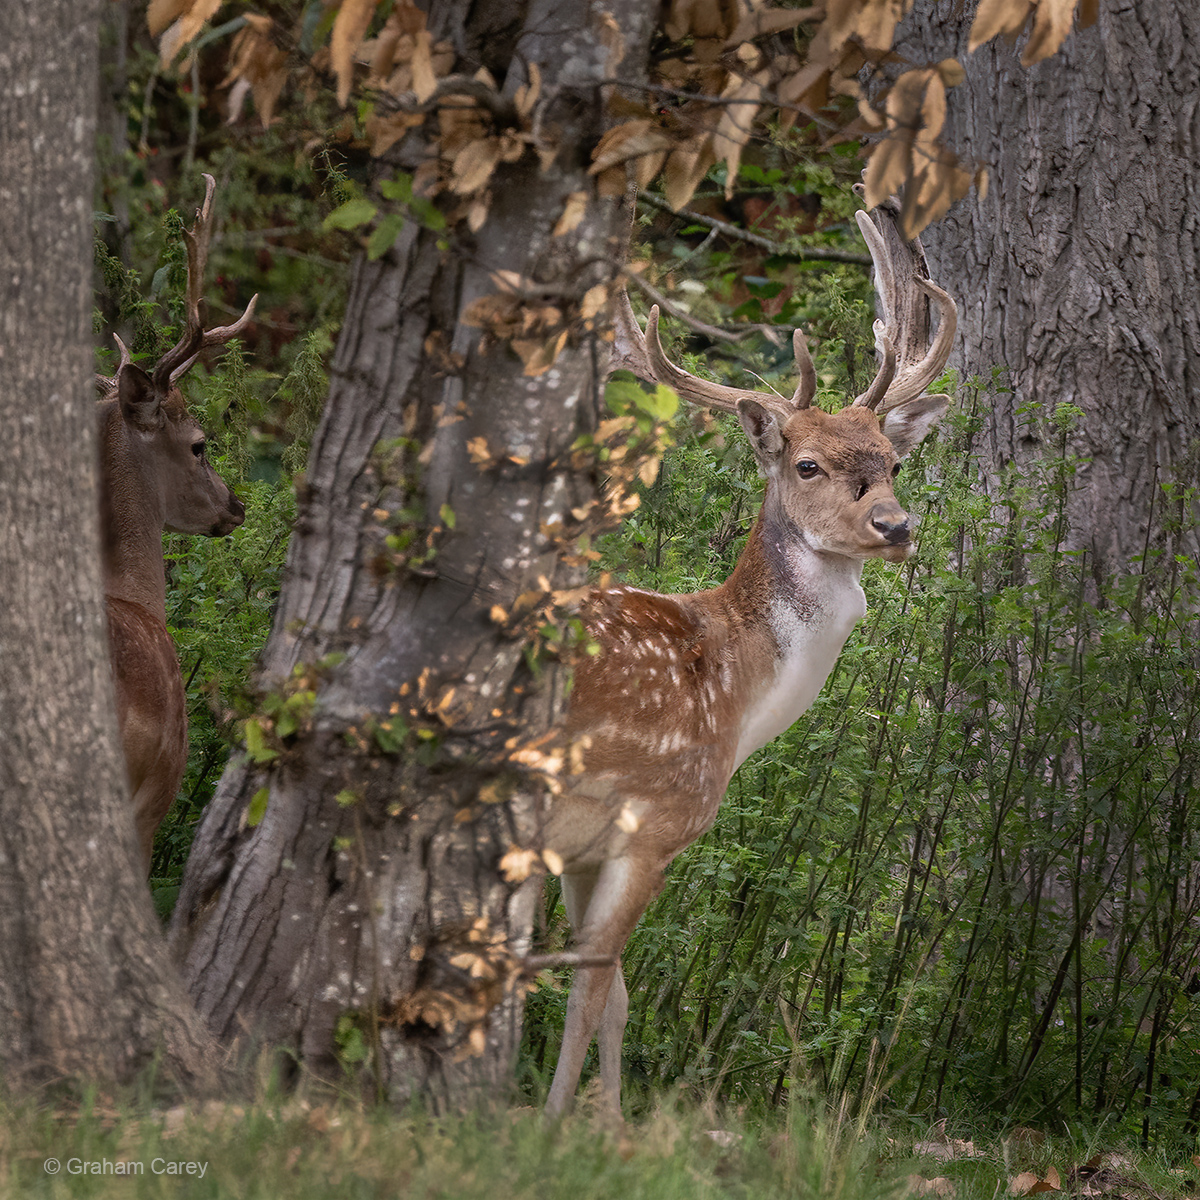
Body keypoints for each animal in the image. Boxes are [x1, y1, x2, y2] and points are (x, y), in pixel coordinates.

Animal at [541, 204, 957, 1118]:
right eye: (807, 463)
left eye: (894, 463)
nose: (896, 527)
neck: (735, 701)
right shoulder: (654, 818)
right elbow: (591, 988)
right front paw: (553, 1123)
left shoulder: (584, 850)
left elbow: (618, 995)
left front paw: (610, 1123)